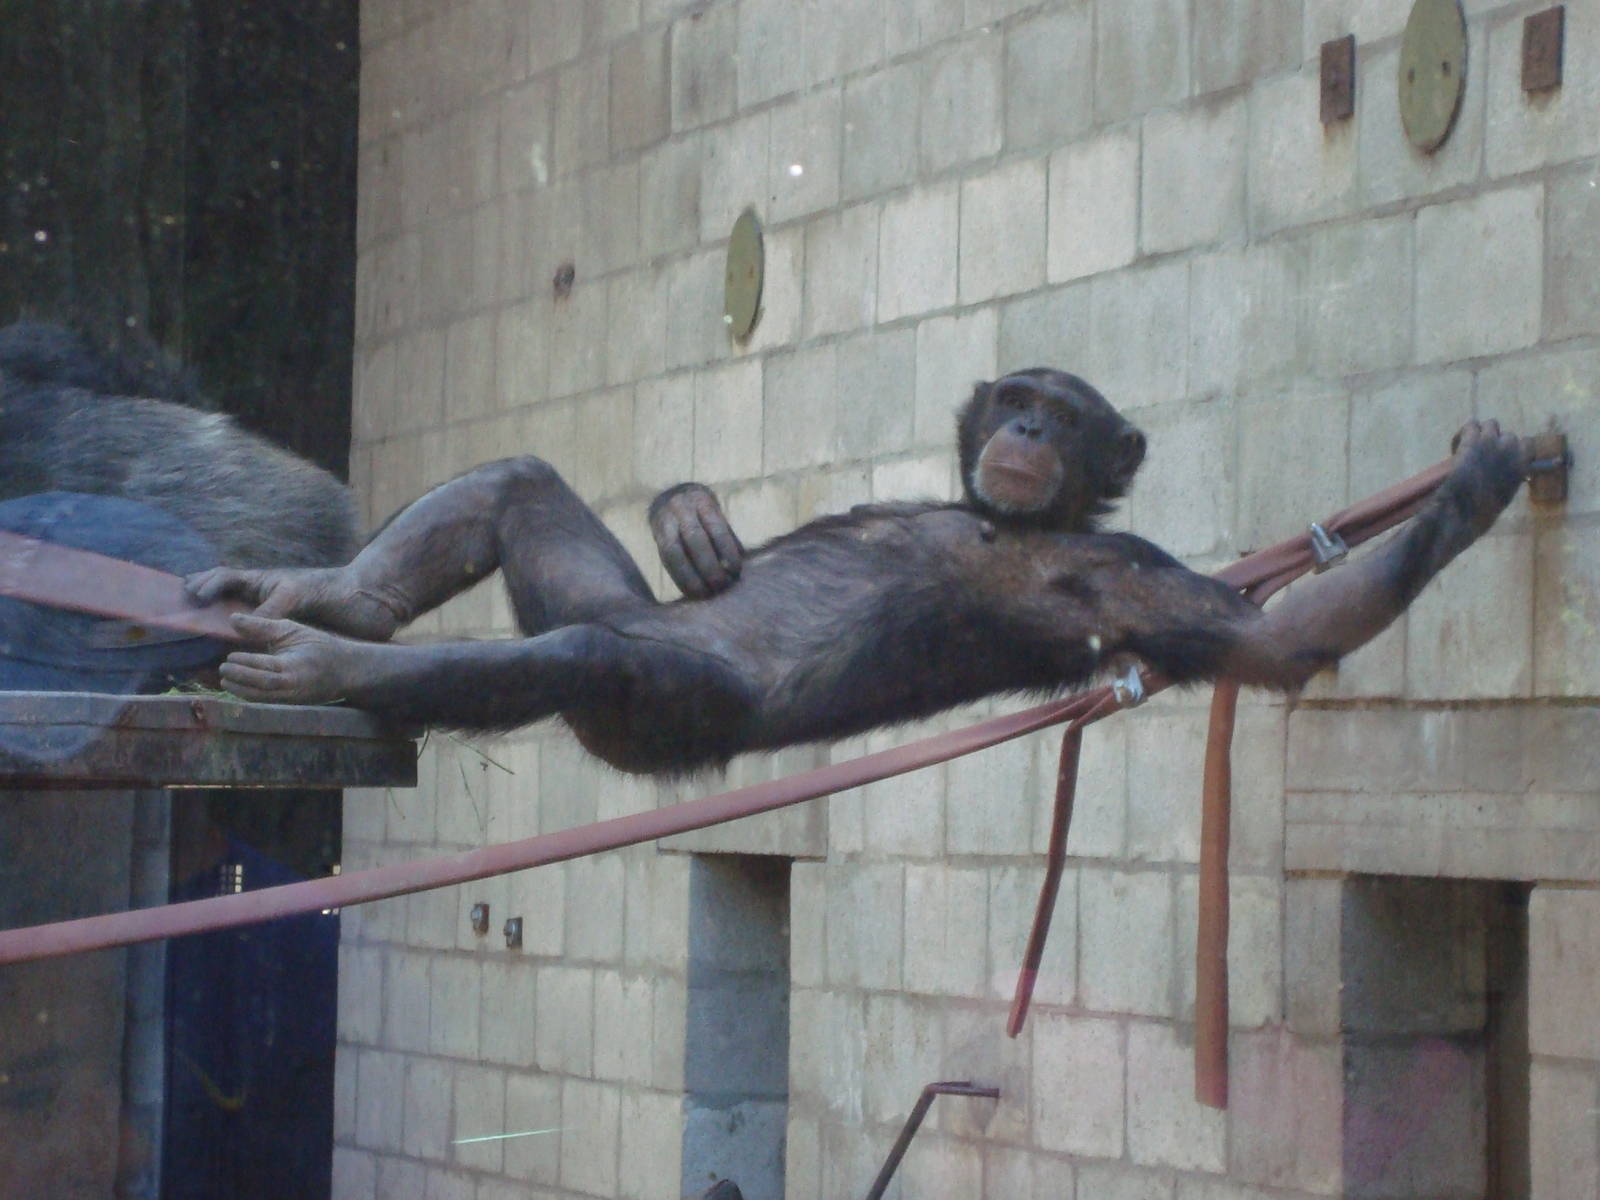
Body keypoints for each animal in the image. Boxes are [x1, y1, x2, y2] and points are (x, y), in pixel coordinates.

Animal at [186, 368, 1532, 776]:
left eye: (1063, 413)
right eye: (1020, 395)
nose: (1026, 426)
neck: (999, 519)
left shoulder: (1127, 575)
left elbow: (1269, 643)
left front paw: (1474, 492)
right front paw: (691, 516)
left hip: (664, 709)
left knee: (578, 654)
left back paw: (330, 662)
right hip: (597, 589)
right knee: (516, 483)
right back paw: (329, 599)